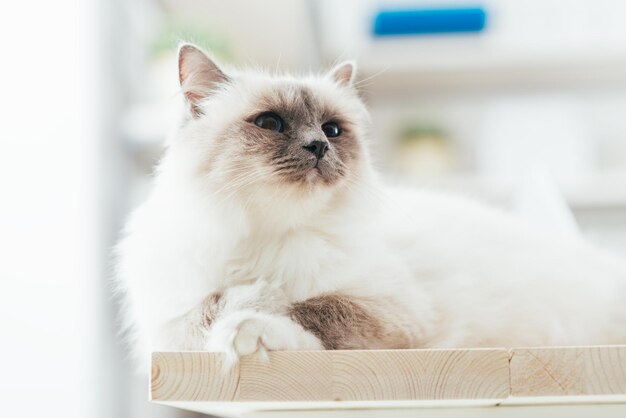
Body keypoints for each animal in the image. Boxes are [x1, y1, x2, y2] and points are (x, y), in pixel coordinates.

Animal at [114, 42, 624, 370]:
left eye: (333, 130)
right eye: (271, 123)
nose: (319, 146)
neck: (272, 241)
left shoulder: (391, 313)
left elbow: (310, 311)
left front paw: (253, 324)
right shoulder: (167, 326)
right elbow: (210, 309)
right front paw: (248, 307)